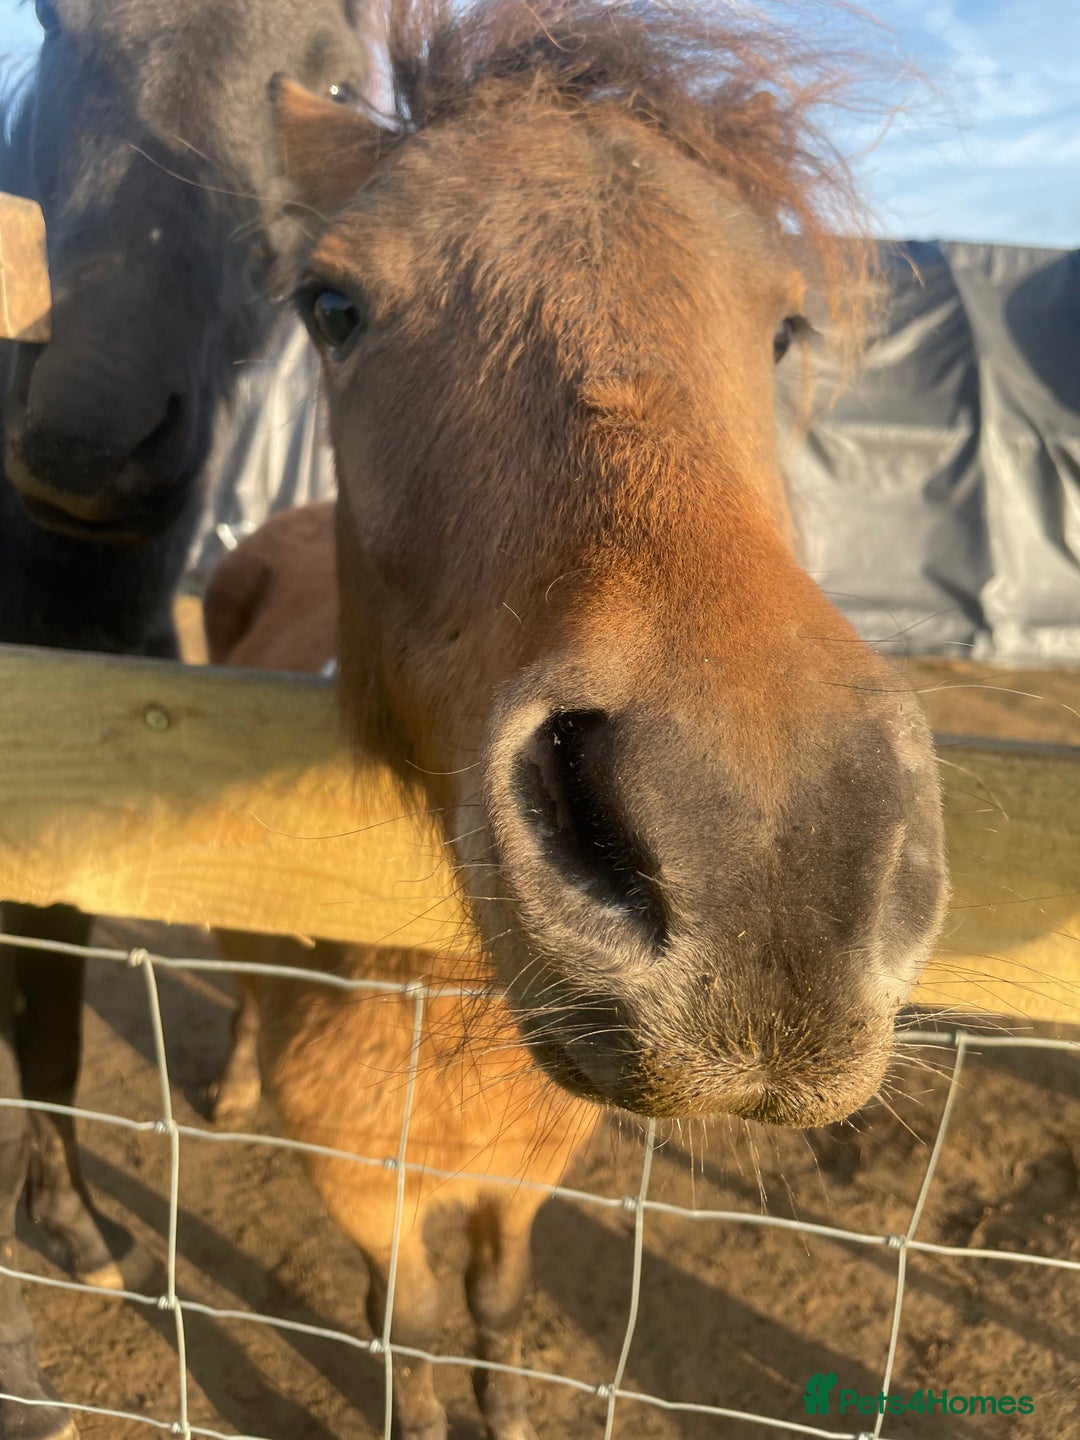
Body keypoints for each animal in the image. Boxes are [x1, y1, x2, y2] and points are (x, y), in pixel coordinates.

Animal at [253, 0, 949, 1432]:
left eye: (785, 327)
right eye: (333, 308)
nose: (765, 844)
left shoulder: (521, 1182)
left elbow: (496, 1302)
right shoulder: (359, 1191)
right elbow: (409, 1326)